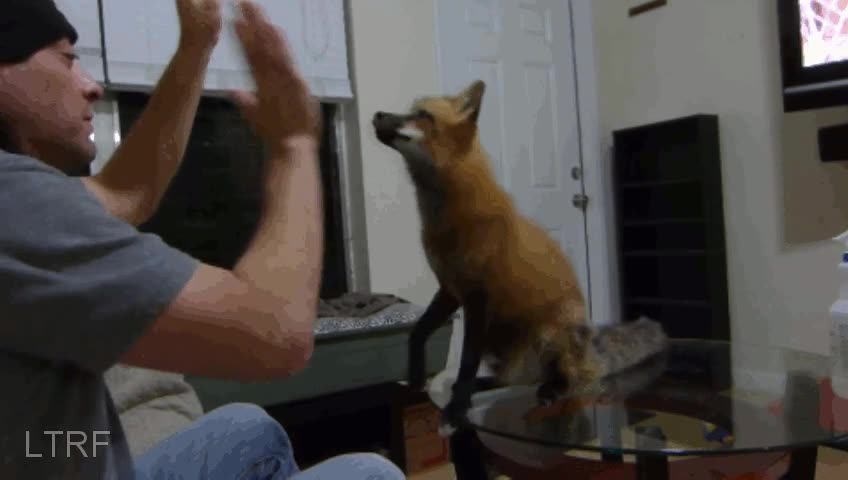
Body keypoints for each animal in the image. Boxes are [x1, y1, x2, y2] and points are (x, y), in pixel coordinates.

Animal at [372, 79, 669, 434]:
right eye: (410, 110)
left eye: (421, 115)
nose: (376, 114)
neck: (450, 219)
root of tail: (587, 351)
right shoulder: (450, 290)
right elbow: (418, 333)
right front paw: (418, 376)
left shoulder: (478, 297)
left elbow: (466, 362)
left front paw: (455, 412)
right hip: (501, 348)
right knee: (509, 380)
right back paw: (483, 387)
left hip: (547, 333)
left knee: (569, 380)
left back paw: (551, 390)